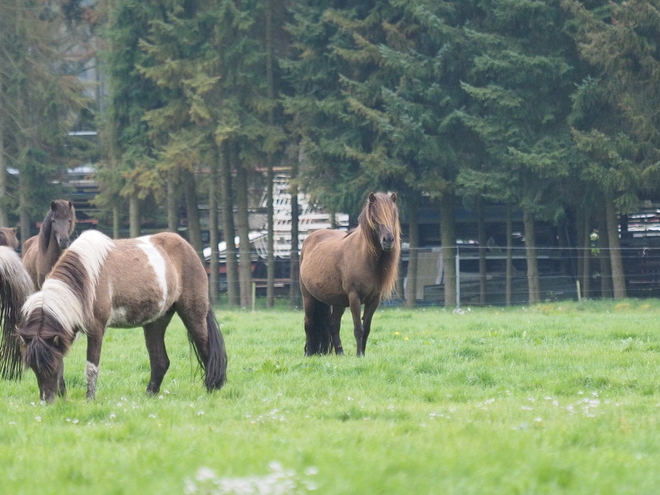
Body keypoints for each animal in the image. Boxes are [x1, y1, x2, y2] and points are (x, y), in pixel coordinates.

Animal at [5, 230, 228, 404]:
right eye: (33, 367)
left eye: (49, 366)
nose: (47, 402)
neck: (86, 278)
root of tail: (187, 247)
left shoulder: (96, 330)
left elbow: (91, 368)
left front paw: (89, 400)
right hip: (156, 322)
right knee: (160, 361)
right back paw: (150, 395)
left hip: (194, 315)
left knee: (207, 351)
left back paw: (212, 388)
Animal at [300, 192, 402, 358]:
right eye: (374, 217)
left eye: (393, 215)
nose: (388, 240)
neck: (365, 259)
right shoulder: (355, 297)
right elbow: (358, 328)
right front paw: (359, 355)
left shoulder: (374, 300)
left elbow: (366, 328)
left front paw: (363, 354)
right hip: (308, 297)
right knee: (309, 323)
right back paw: (309, 353)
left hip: (338, 302)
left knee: (333, 325)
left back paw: (340, 353)